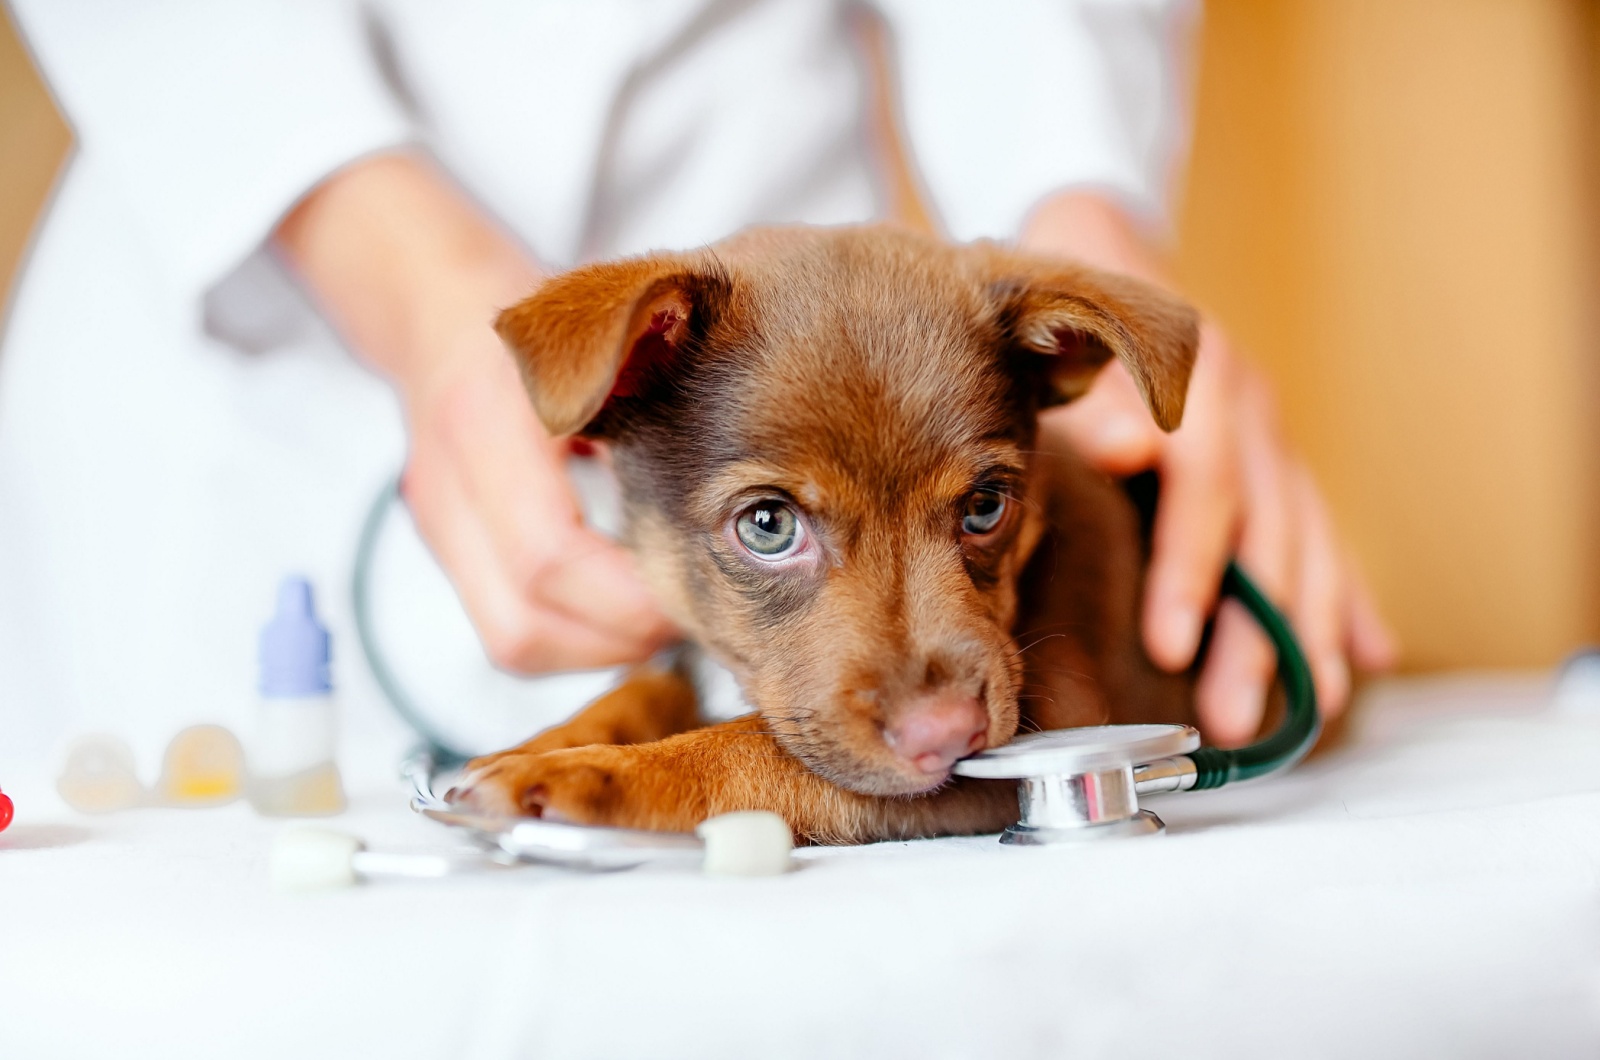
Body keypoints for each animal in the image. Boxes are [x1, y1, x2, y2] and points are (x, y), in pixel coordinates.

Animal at [451, 225, 1203, 845]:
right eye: (768, 525)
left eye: (987, 506)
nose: (946, 737)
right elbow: (645, 687)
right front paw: (541, 744)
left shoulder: (1047, 726)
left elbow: (754, 751)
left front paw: (593, 774)